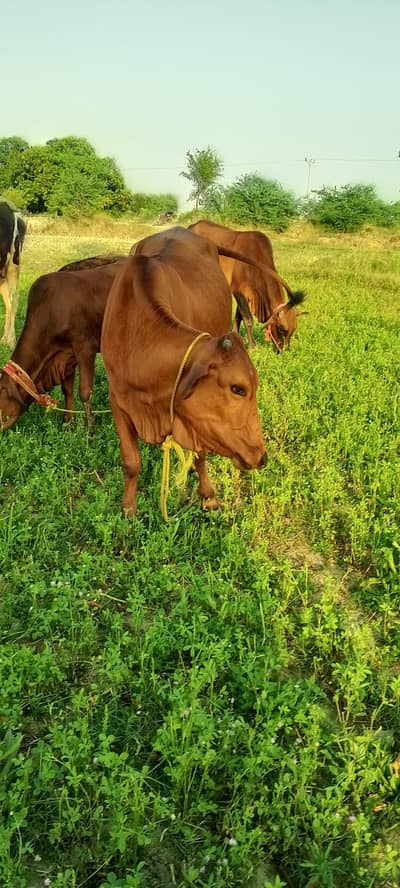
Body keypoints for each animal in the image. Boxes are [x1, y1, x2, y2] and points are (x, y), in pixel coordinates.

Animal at [0, 260, 125, 431]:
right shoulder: (66, 357)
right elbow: (67, 390)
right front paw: (67, 423)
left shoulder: (85, 349)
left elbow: (85, 392)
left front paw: (90, 431)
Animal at [101, 226, 266, 517]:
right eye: (238, 388)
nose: (262, 456)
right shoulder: (118, 400)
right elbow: (131, 461)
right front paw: (128, 510)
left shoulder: (197, 422)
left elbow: (200, 454)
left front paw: (208, 496)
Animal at [189, 220, 305, 350]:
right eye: (281, 329)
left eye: (293, 330)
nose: (284, 350)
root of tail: (192, 226)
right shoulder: (238, 291)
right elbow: (248, 318)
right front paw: (252, 346)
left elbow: (238, 317)